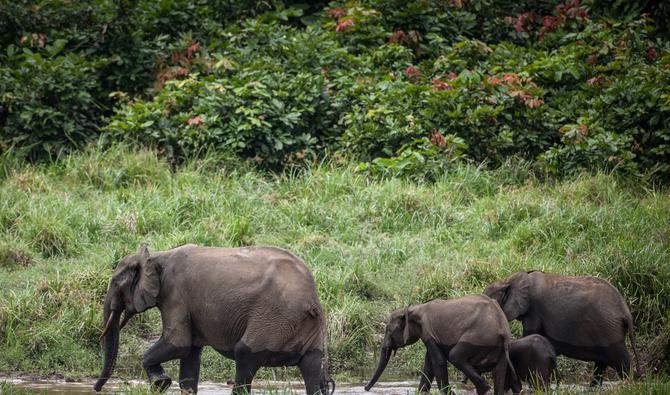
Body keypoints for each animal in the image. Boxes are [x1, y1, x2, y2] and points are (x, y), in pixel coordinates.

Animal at [94, 244, 336, 395]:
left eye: (115, 283)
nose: (96, 389)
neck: (156, 256)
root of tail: (312, 298)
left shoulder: (176, 295)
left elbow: (178, 344)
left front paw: (160, 383)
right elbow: (189, 359)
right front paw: (163, 383)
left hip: (274, 319)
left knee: (245, 356)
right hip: (303, 326)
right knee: (311, 367)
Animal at [364, 296, 516, 394]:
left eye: (389, 331)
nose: (365, 388)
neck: (414, 308)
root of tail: (502, 328)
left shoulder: (428, 331)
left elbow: (438, 362)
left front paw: (448, 393)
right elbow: (429, 366)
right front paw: (421, 393)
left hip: (478, 337)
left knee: (455, 356)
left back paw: (485, 390)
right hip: (500, 347)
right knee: (500, 371)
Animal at [486, 270, 644, 386]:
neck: (508, 280)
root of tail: (625, 311)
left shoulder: (533, 310)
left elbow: (531, 333)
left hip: (609, 329)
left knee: (620, 360)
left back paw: (629, 384)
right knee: (602, 363)